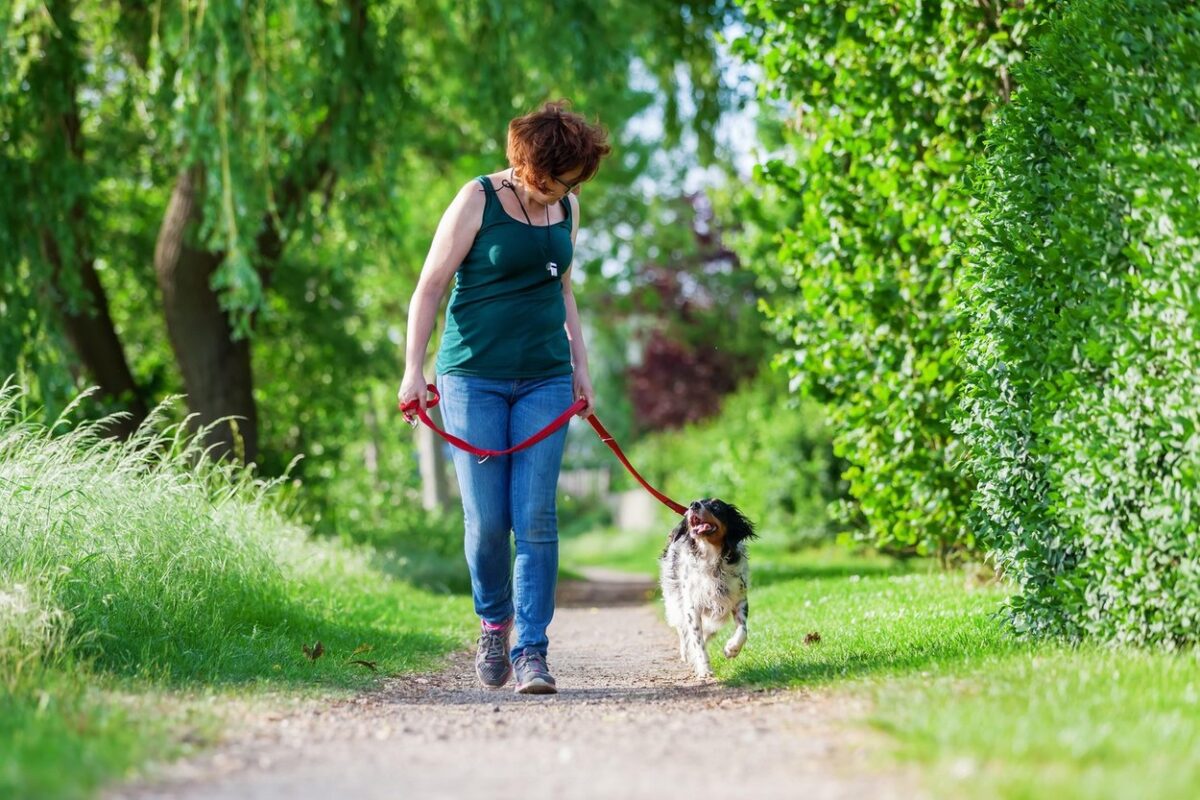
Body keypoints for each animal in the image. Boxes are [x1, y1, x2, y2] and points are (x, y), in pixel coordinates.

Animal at [662, 501, 753, 676]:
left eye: (717, 506)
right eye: (694, 502)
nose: (694, 504)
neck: (713, 559)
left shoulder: (739, 599)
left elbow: (743, 630)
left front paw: (732, 648)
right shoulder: (692, 607)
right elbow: (697, 641)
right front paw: (704, 669)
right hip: (675, 602)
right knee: (683, 630)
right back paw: (686, 653)